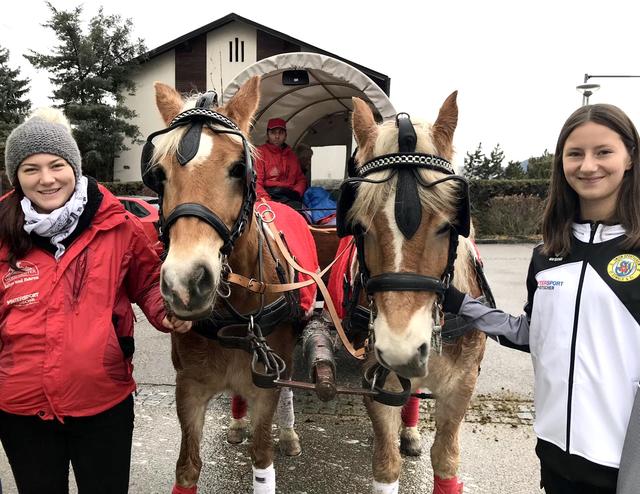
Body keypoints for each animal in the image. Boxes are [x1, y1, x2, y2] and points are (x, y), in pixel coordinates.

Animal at [143, 75, 318, 492]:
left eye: (239, 168)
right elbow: (187, 466)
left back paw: (289, 433)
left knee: (289, 385)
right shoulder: (189, 387)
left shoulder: (266, 388)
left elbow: (262, 457)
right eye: (158, 175)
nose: (186, 282)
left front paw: (278, 439)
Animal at [338, 95, 488, 494]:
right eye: (359, 226)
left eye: (448, 225)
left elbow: (447, 460)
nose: (400, 350)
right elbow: (385, 463)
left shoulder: (462, 386)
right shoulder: (377, 378)